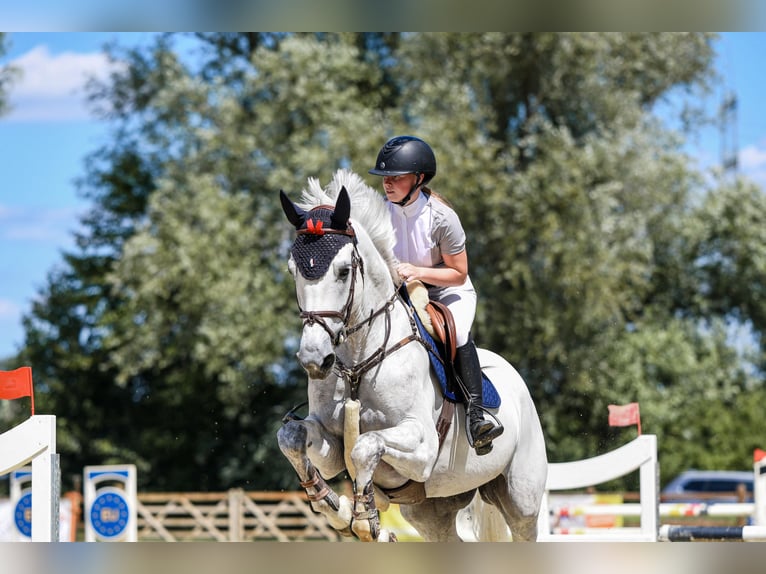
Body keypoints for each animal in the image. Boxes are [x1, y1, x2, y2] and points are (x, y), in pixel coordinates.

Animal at [277, 169, 548, 542]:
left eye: (344, 271)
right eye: (293, 270)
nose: (314, 360)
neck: (359, 362)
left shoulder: (422, 447)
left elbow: (365, 445)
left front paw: (364, 519)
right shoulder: (329, 443)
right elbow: (291, 438)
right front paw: (336, 509)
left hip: (522, 498)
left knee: (524, 524)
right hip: (432, 510)